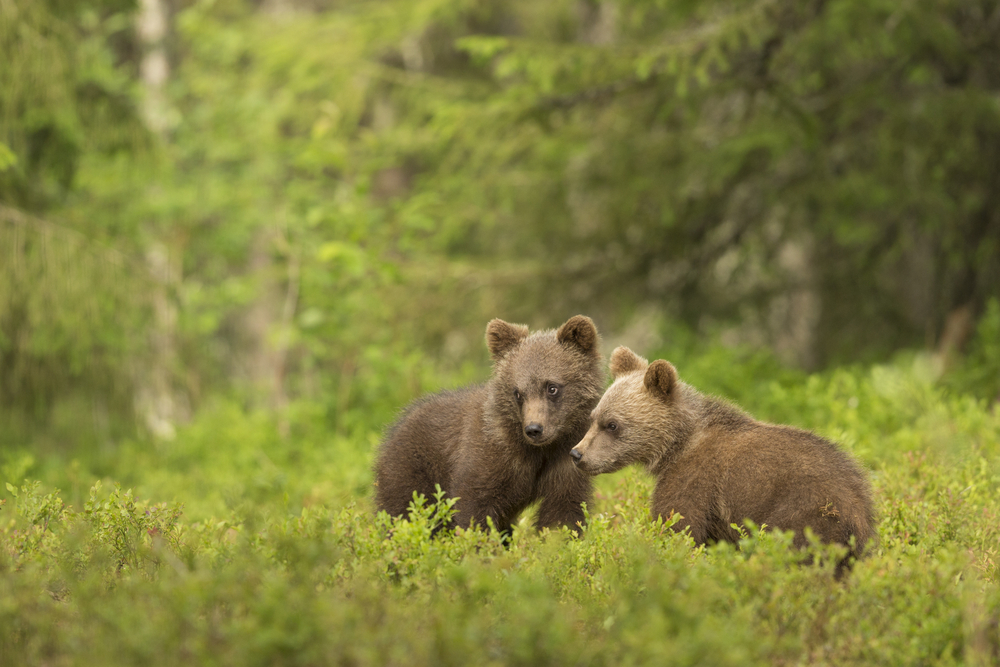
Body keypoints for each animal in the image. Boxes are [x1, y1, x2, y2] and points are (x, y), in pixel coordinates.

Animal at [374, 315, 605, 536]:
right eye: (517, 392)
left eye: (552, 387)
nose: (534, 429)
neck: (538, 451)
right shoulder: (488, 456)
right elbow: (475, 507)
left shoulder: (565, 461)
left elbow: (563, 512)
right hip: (412, 472)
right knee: (405, 514)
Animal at [570, 346, 876, 569]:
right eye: (593, 417)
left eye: (612, 425)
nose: (577, 453)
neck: (676, 446)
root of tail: (860, 509)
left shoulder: (694, 480)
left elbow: (678, 524)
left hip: (806, 512)